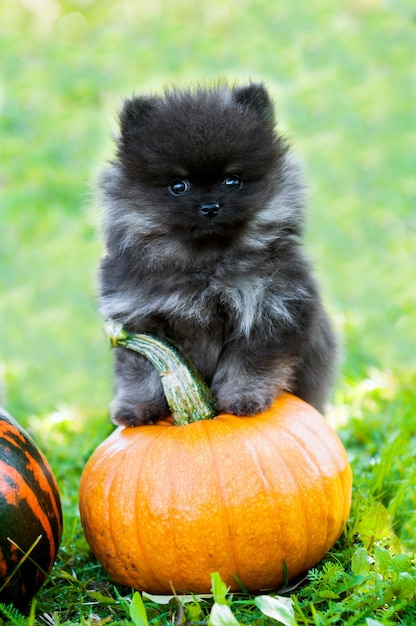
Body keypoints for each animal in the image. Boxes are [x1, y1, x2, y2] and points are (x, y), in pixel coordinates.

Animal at [98, 81, 338, 424]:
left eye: (232, 180)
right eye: (178, 186)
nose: (210, 207)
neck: (206, 265)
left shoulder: (269, 308)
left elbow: (249, 362)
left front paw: (244, 398)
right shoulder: (139, 320)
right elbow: (142, 370)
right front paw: (135, 408)